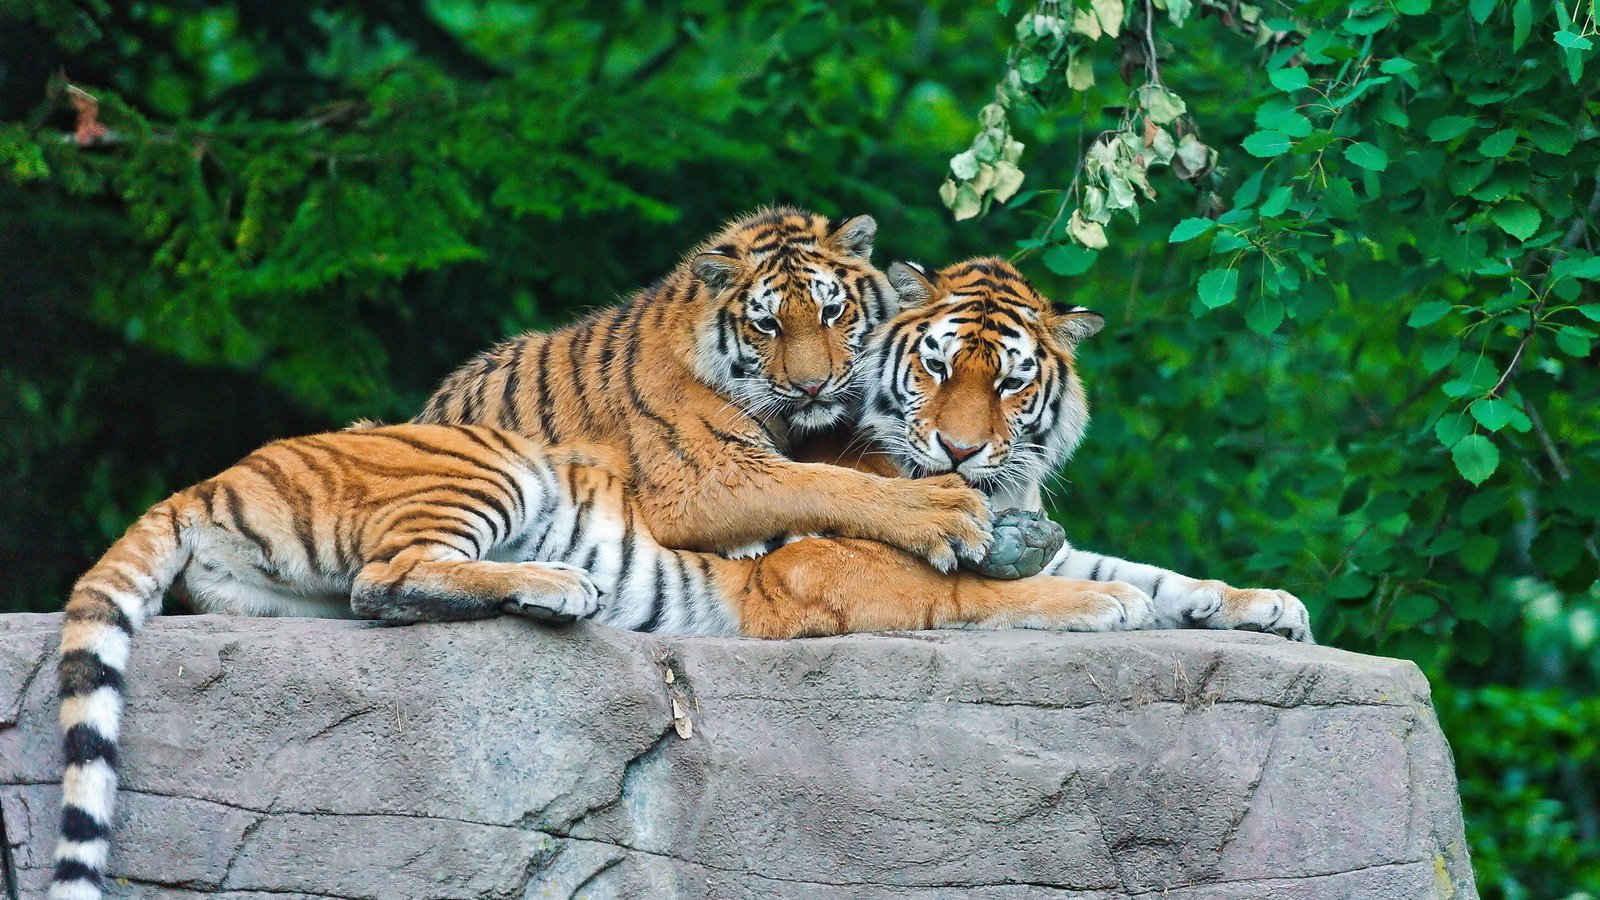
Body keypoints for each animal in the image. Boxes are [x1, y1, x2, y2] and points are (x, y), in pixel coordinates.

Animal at [412, 204, 985, 566]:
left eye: (831, 311)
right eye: (767, 324)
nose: (813, 387)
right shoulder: (705, 475)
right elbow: (827, 484)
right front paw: (947, 514)